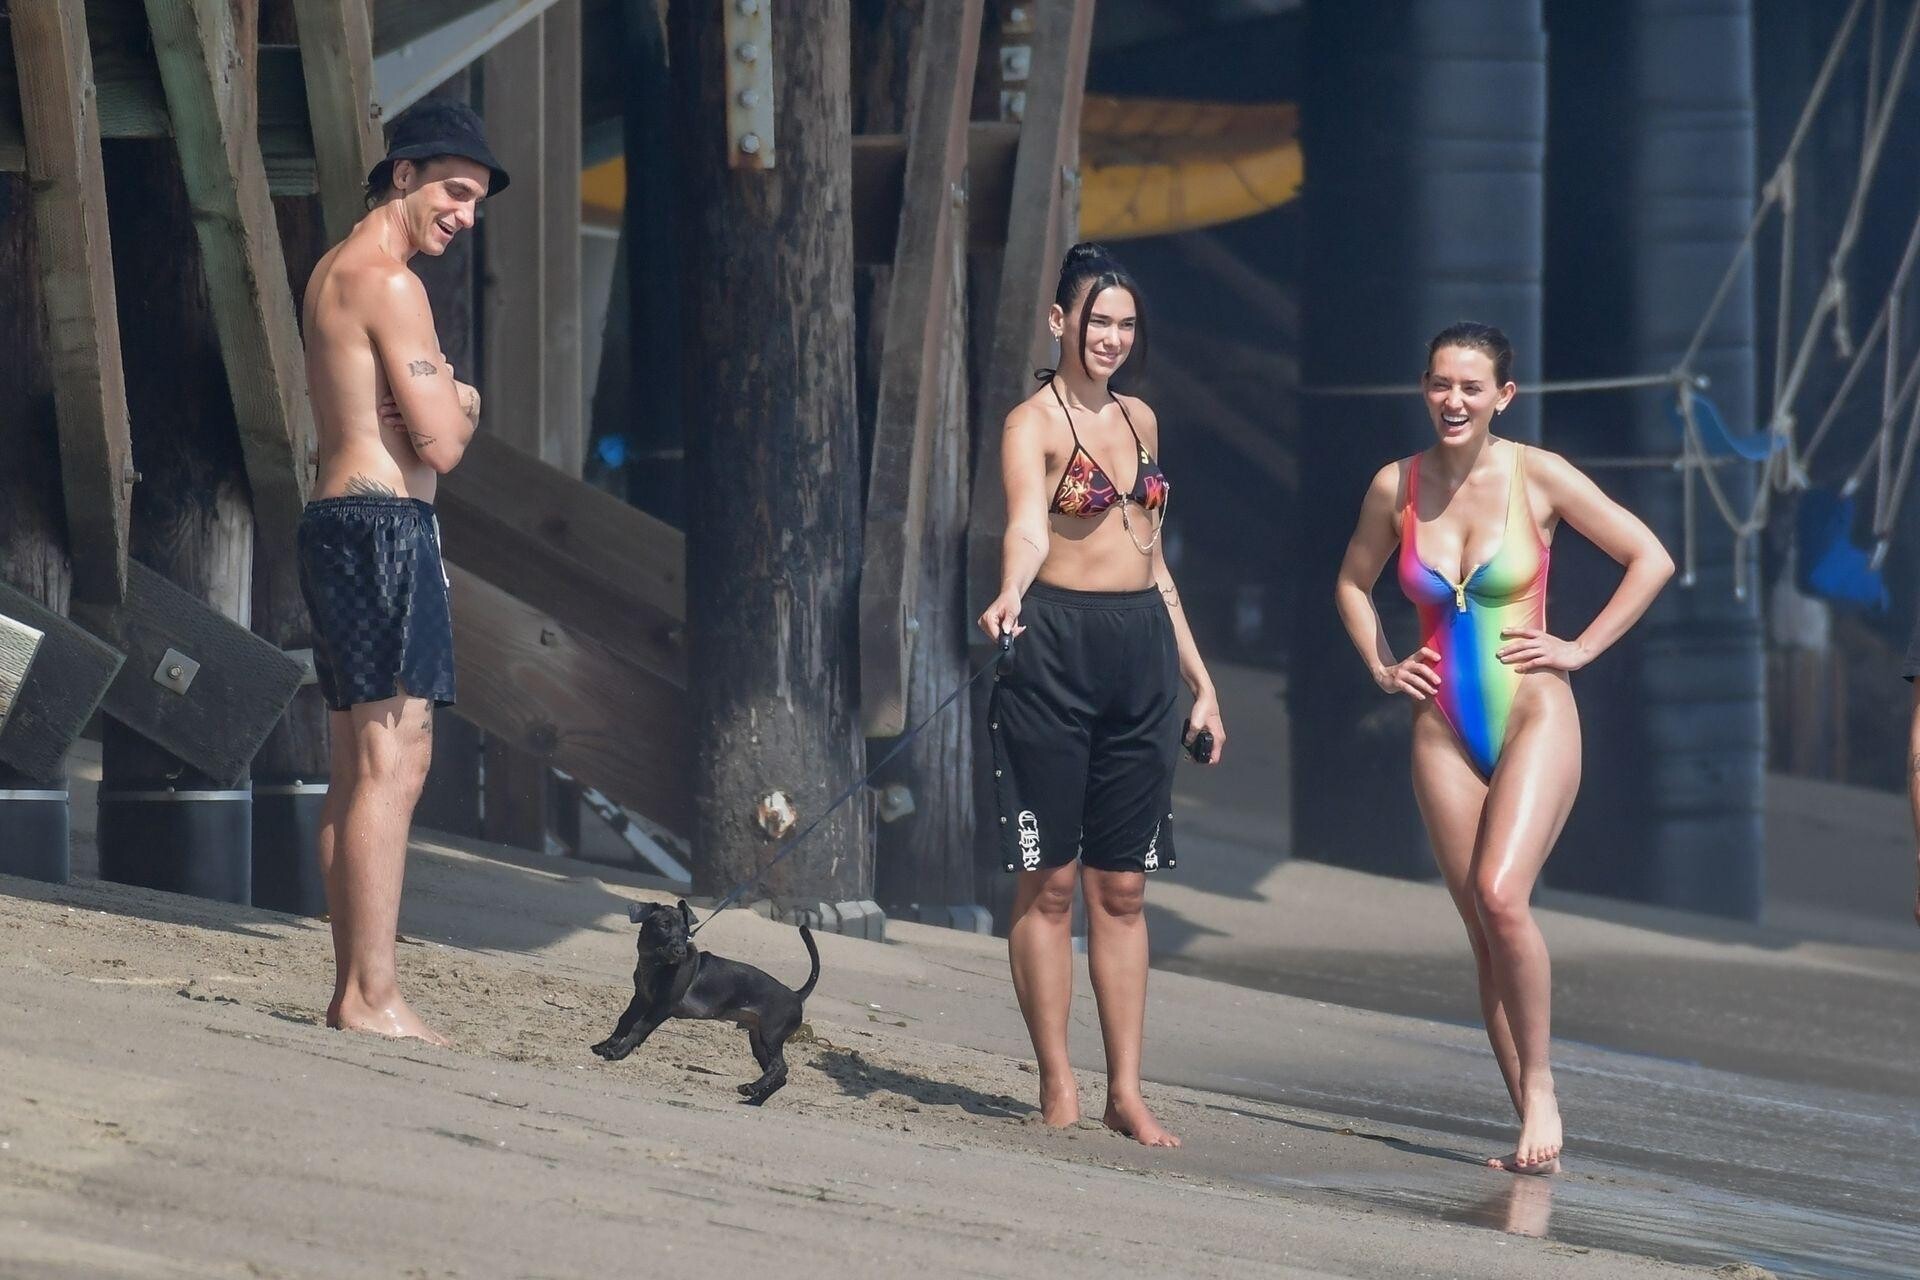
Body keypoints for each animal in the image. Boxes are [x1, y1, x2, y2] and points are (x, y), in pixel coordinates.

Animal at [591, 900, 819, 1105]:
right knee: (780, 1075)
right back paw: (755, 1099)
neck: (656, 965)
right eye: (664, 925)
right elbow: (624, 1022)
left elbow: (638, 1028)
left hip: (770, 1035)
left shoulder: (661, 1007)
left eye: (685, 931)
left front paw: (618, 1052)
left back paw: (751, 1088)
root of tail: (796, 995)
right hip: (758, 1039)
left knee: (780, 1067)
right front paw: (604, 1046)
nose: (680, 951)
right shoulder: (640, 999)